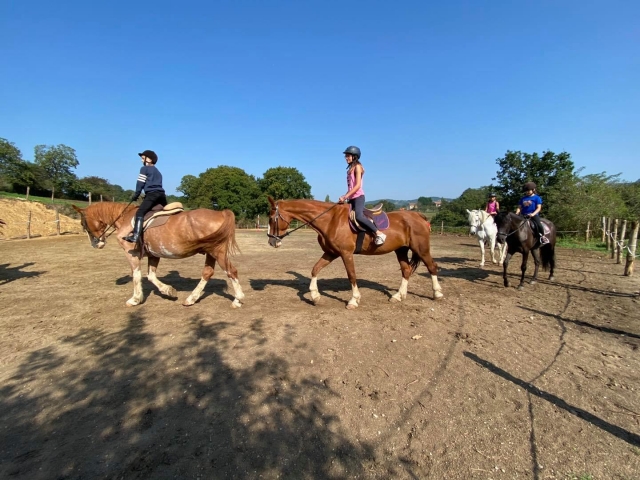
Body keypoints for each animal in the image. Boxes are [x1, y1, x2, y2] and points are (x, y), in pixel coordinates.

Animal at [72, 202, 245, 308]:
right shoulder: (154, 254)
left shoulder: (131, 252)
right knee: (207, 273)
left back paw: (238, 299)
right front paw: (169, 291)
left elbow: (136, 275)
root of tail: (221, 213)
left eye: (82, 223)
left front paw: (135, 299)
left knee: (231, 271)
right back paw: (191, 299)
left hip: (217, 251)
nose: (97, 244)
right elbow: (151, 276)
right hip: (210, 252)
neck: (126, 218)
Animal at [264, 197, 440, 310]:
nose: (271, 241)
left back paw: (437, 293)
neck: (330, 220)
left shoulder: (346, 253)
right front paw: (315, 296)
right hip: (401, 250)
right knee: (406, 270)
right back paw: (398, 296)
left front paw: (354, 300)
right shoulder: (331, 253)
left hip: (421, 249)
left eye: (272, 218)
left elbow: (351, 275)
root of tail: (418, 215)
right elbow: (315, 269)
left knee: (432, 267)